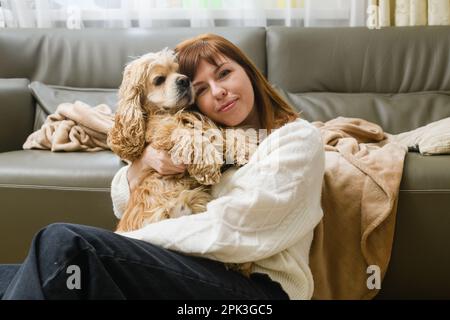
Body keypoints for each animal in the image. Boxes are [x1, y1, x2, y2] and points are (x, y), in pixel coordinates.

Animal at [107, 48, 255, 276]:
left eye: (180, 71)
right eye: (159, 79)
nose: (185, 81)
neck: (171, 112)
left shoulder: (204, 125)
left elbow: (223, 132)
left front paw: (246, 148)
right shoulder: (162, 132)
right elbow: (187, 134)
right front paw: (207, 164)